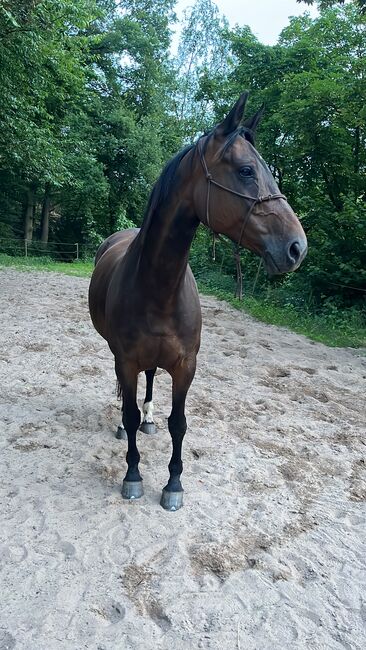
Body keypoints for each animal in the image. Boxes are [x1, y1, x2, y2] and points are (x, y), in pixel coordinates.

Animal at [89, 92, 308, 506]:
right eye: (245, 171)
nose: (296, 247)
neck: (159, 289)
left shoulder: (185, 366)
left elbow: (179, 423)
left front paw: (174, 483)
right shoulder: (126, 359)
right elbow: (128, 412)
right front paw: (133, 475)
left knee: (151, 381)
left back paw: (150, 420)